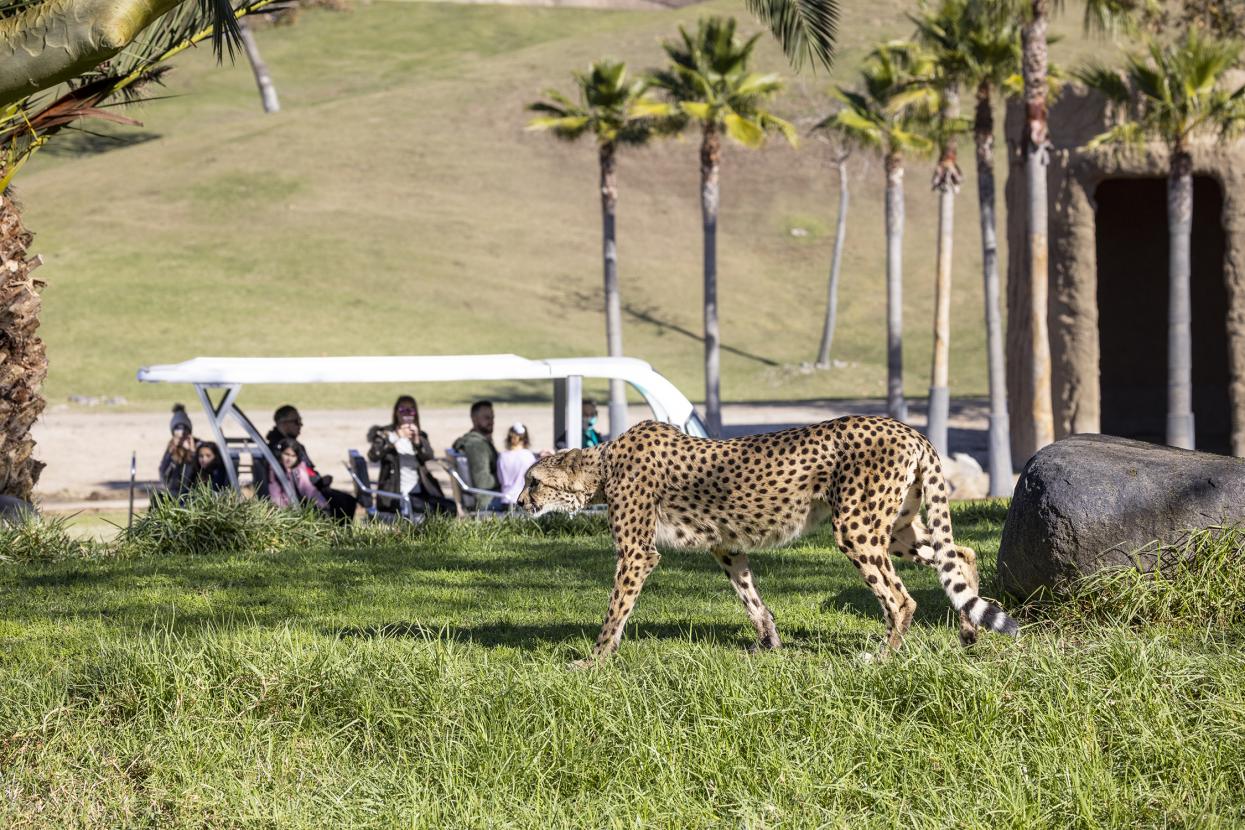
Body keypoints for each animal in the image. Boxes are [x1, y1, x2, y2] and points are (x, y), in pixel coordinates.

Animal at [515, 416, 1019, 666]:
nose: (519, 502)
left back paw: (882, 657)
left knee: (901, 598)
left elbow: (615, 610)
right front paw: (768, 643)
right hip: (893, 528)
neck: (601, 467)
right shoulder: (726, 545)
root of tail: (908, 429)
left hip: (855, 528)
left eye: (533, 481)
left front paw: (595, 660)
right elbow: (750, 596)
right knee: (960, 553)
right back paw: (969, 635)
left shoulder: (638, 553)